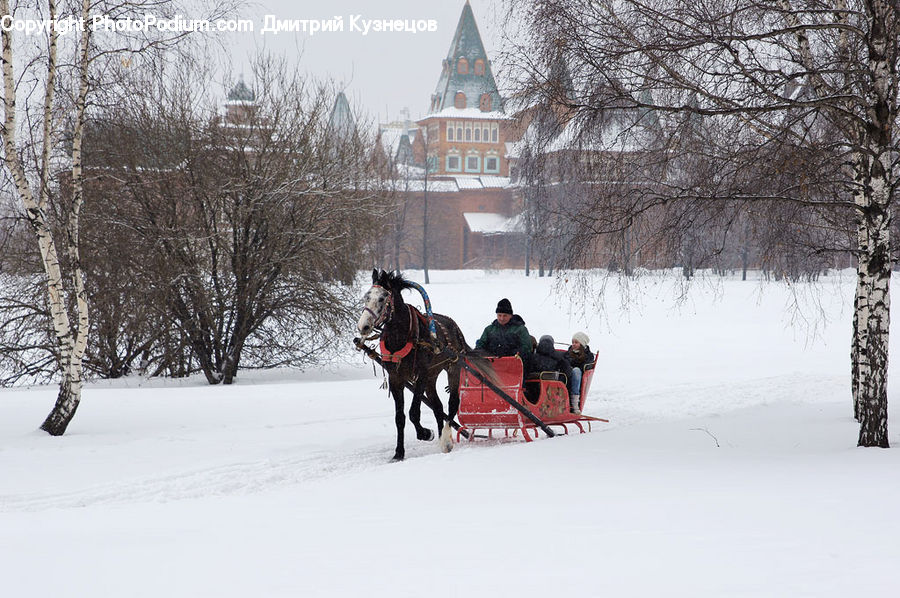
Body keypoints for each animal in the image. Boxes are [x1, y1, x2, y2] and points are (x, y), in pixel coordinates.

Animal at [357, 269, 492, 461]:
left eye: (382, 298)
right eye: (366, 297)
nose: (363, 326)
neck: (402, 336)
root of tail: (456, 329)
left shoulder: (421, 374)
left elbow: (414, 412)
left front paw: (425, 433)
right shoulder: (396, 378)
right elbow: (400, 417)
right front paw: (399, 452)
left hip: (452, 368)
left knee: (452, 403)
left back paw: (446, 440)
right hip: (432, 376)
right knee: (438, 407)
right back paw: (441, 435)